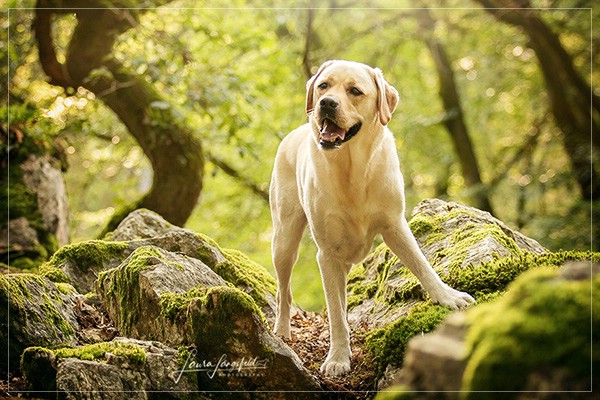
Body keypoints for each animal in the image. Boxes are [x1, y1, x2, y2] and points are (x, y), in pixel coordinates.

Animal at [270, 59, 474, 376]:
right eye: (323, 86)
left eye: (355, 91)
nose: (326, 103)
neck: (351, 168)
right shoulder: (327, 254)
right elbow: (335, 314)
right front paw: (338, 357)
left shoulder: (395, 225)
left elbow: (422, 265)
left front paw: (448, 297)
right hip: (285, 239)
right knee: (284, 290)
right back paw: (281, 330)